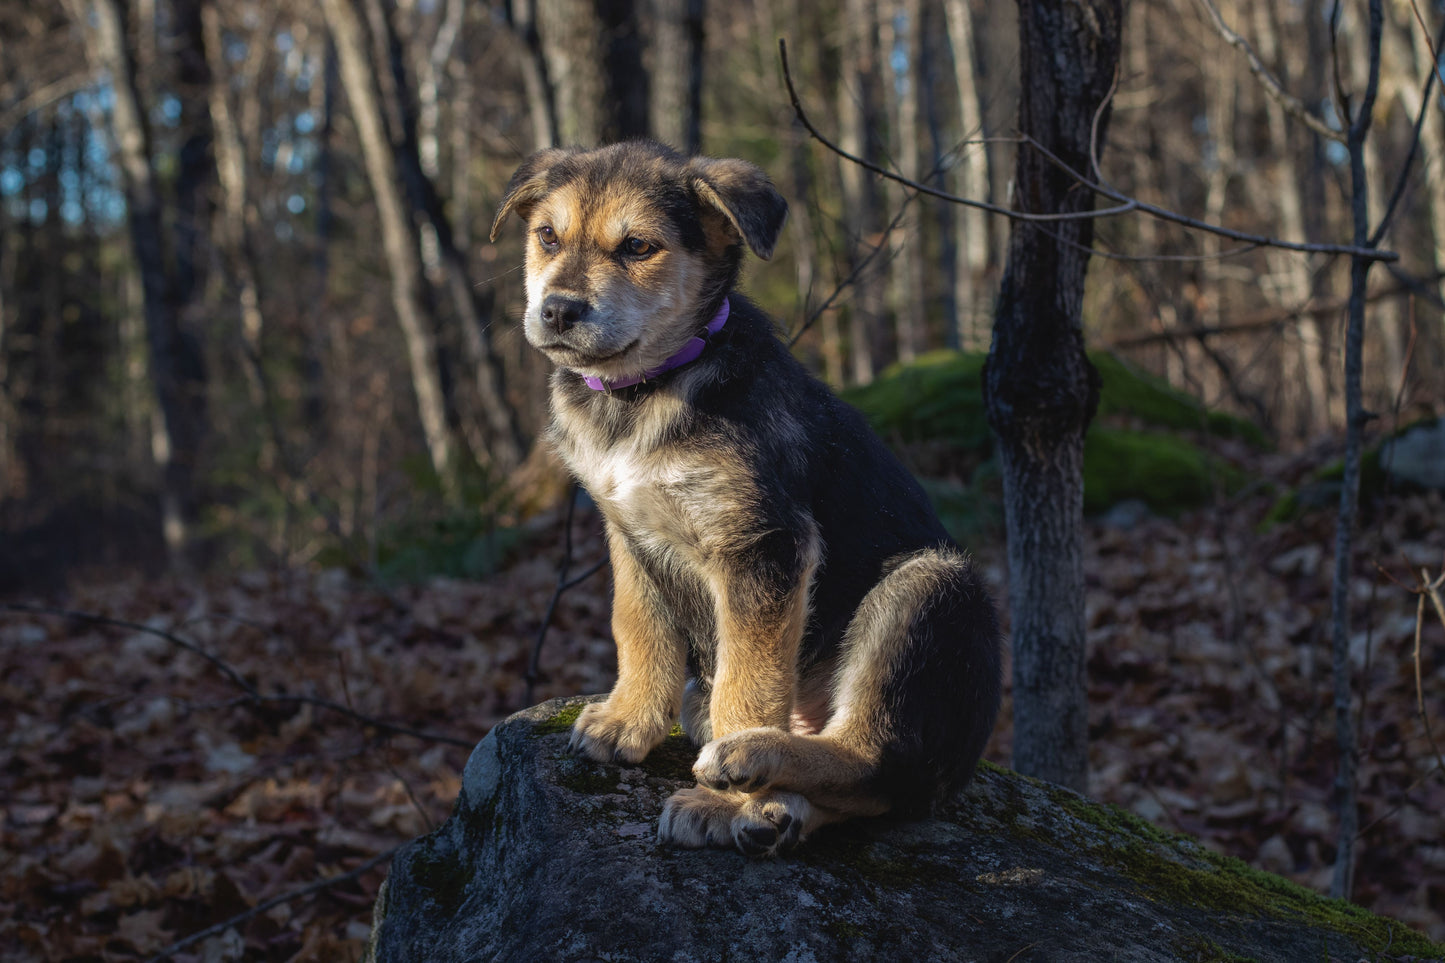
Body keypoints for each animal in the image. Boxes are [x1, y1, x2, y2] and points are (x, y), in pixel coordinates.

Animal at [491, 140, 999, 856]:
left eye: (638, 247)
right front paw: (628, 720)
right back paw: (778, 811)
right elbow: (637, 625)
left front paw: (720, 797)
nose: (559, 310)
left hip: (930, 587)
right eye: (547, 237)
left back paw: (750, 767)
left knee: (873, 760)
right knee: (870, 790)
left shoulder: (764, 546)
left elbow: (747, 677)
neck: (645, 391)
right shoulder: (627, 531)